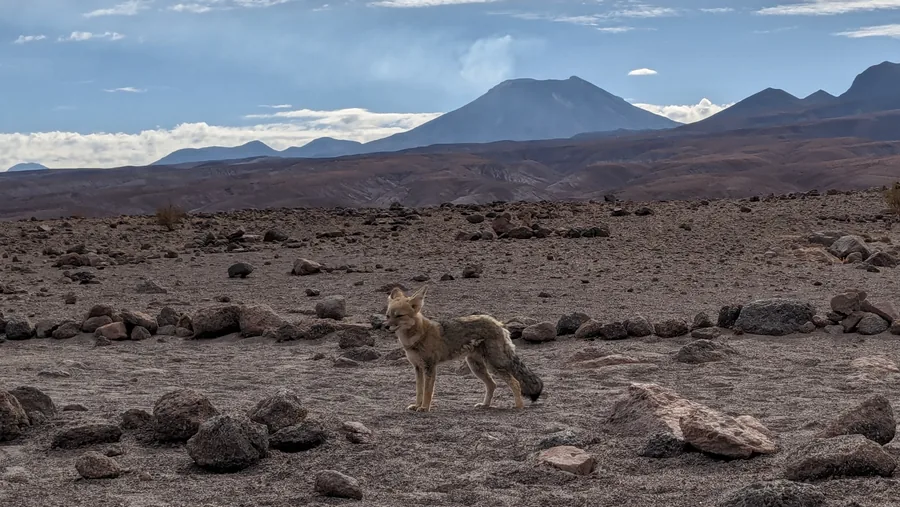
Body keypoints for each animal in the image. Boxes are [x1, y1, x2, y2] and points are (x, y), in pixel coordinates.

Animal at [384, 286, 543, 412]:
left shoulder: (430, 366)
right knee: (492, 385)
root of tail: (498, 323)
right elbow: (419, 391)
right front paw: (417, 405)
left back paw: (519, 407)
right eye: (387, 316)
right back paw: (485, 405)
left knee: (515, 383)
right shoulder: (418, 368)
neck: (415, 338)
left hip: (494, 365)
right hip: (476, 366)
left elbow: (428, 391)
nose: (385, 326)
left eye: (399, 316)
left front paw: (424, 408)